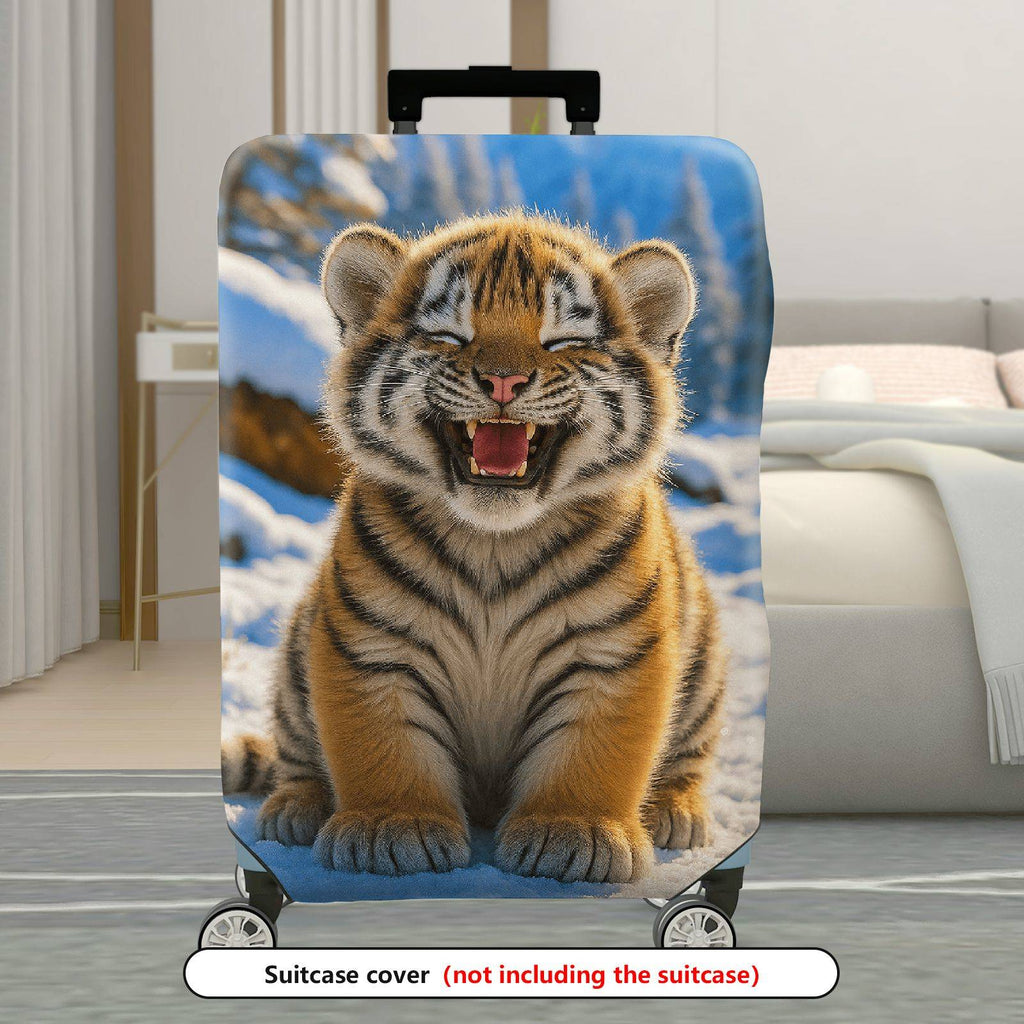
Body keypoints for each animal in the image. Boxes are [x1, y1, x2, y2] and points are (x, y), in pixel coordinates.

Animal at [222, 212, 727, 884]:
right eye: (448, 335)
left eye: (563, 341)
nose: (503, 381)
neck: (495, 544)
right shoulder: (374, 647)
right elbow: (383, 747)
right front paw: (392, 830)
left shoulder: (611, 654)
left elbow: (593, 755)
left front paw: (573, 834)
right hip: (296, 656)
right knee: (295, 757)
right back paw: (295, 810)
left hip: (703, 674)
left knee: (687, 761)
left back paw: (674, 813)